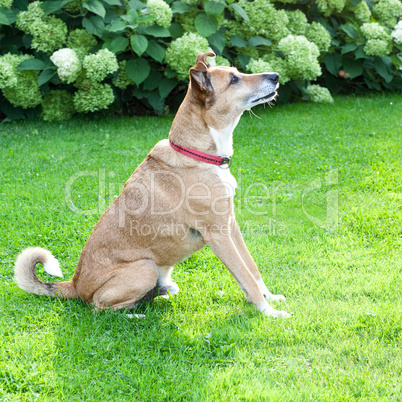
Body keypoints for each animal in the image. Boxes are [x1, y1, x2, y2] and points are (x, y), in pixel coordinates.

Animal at [12, 52, 288, 318]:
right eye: (233, 80)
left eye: (237, 72)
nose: (275, 76)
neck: (198, 154)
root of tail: (74, 285)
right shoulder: (218, 234)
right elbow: (245, 276)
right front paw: (269, 313)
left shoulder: (231, 225)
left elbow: (252, 269)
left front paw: (270, 299)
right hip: (145, 267)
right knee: (99, 308)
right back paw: (137, 316)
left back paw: (160, 293)